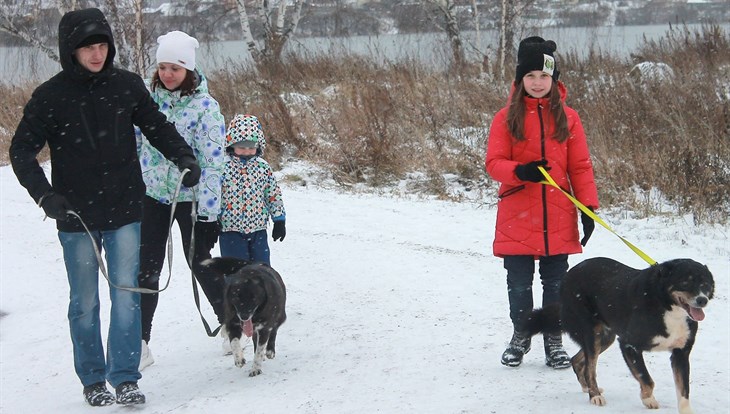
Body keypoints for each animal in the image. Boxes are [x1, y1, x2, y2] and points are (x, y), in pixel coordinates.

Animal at [520, 258, 712, 412]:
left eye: (705, 284)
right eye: (685, 282)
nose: (702, 300)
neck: (666, 305)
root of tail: (567, 277)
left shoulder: (681, 353)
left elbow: (684, 390)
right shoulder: (629, 345)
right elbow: (646, 378)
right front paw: (647, 399)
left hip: (605, 337)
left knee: (577, 360)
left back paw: (587, 388)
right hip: (591, 333)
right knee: (590, 368)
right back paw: (595, 395)